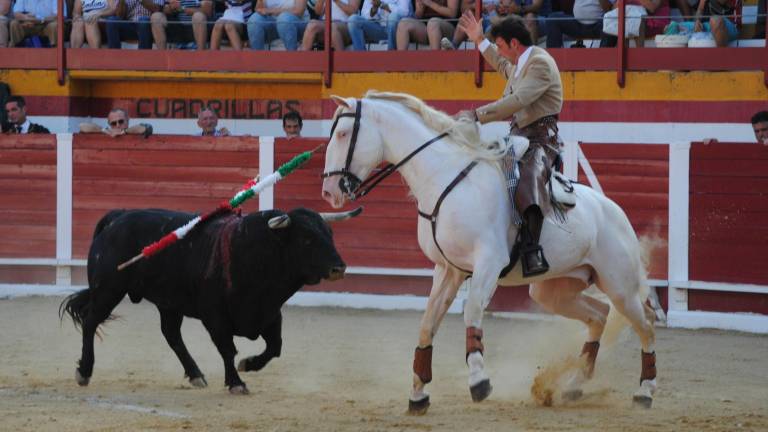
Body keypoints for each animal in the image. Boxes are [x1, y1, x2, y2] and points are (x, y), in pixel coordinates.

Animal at [60, 208, 360, 394]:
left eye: (330, 234)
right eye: (307, 239)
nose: (339, 267)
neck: (255, 253)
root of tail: (118, 217)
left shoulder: (270, 313)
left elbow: (275, 347)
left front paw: (249, 365)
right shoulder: (215, 317)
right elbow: (227, 350)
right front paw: (236, 382)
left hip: (169, 302)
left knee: (171, 335)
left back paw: (196, 374)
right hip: (109, 289)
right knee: (90, 321)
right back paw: (84, 371)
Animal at [320, 90, 656, 412]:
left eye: (343, 133)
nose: (329, 192)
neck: (445, 178)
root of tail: (615, 211)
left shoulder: (488, 263)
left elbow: (472, 312)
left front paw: (479, 381)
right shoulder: (449, 270)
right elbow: (427, 325)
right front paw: (418, 394)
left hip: (619, 286)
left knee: (646, 325)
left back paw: (644, 392)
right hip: (554, 290)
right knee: (599, 315)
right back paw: (573, 385)